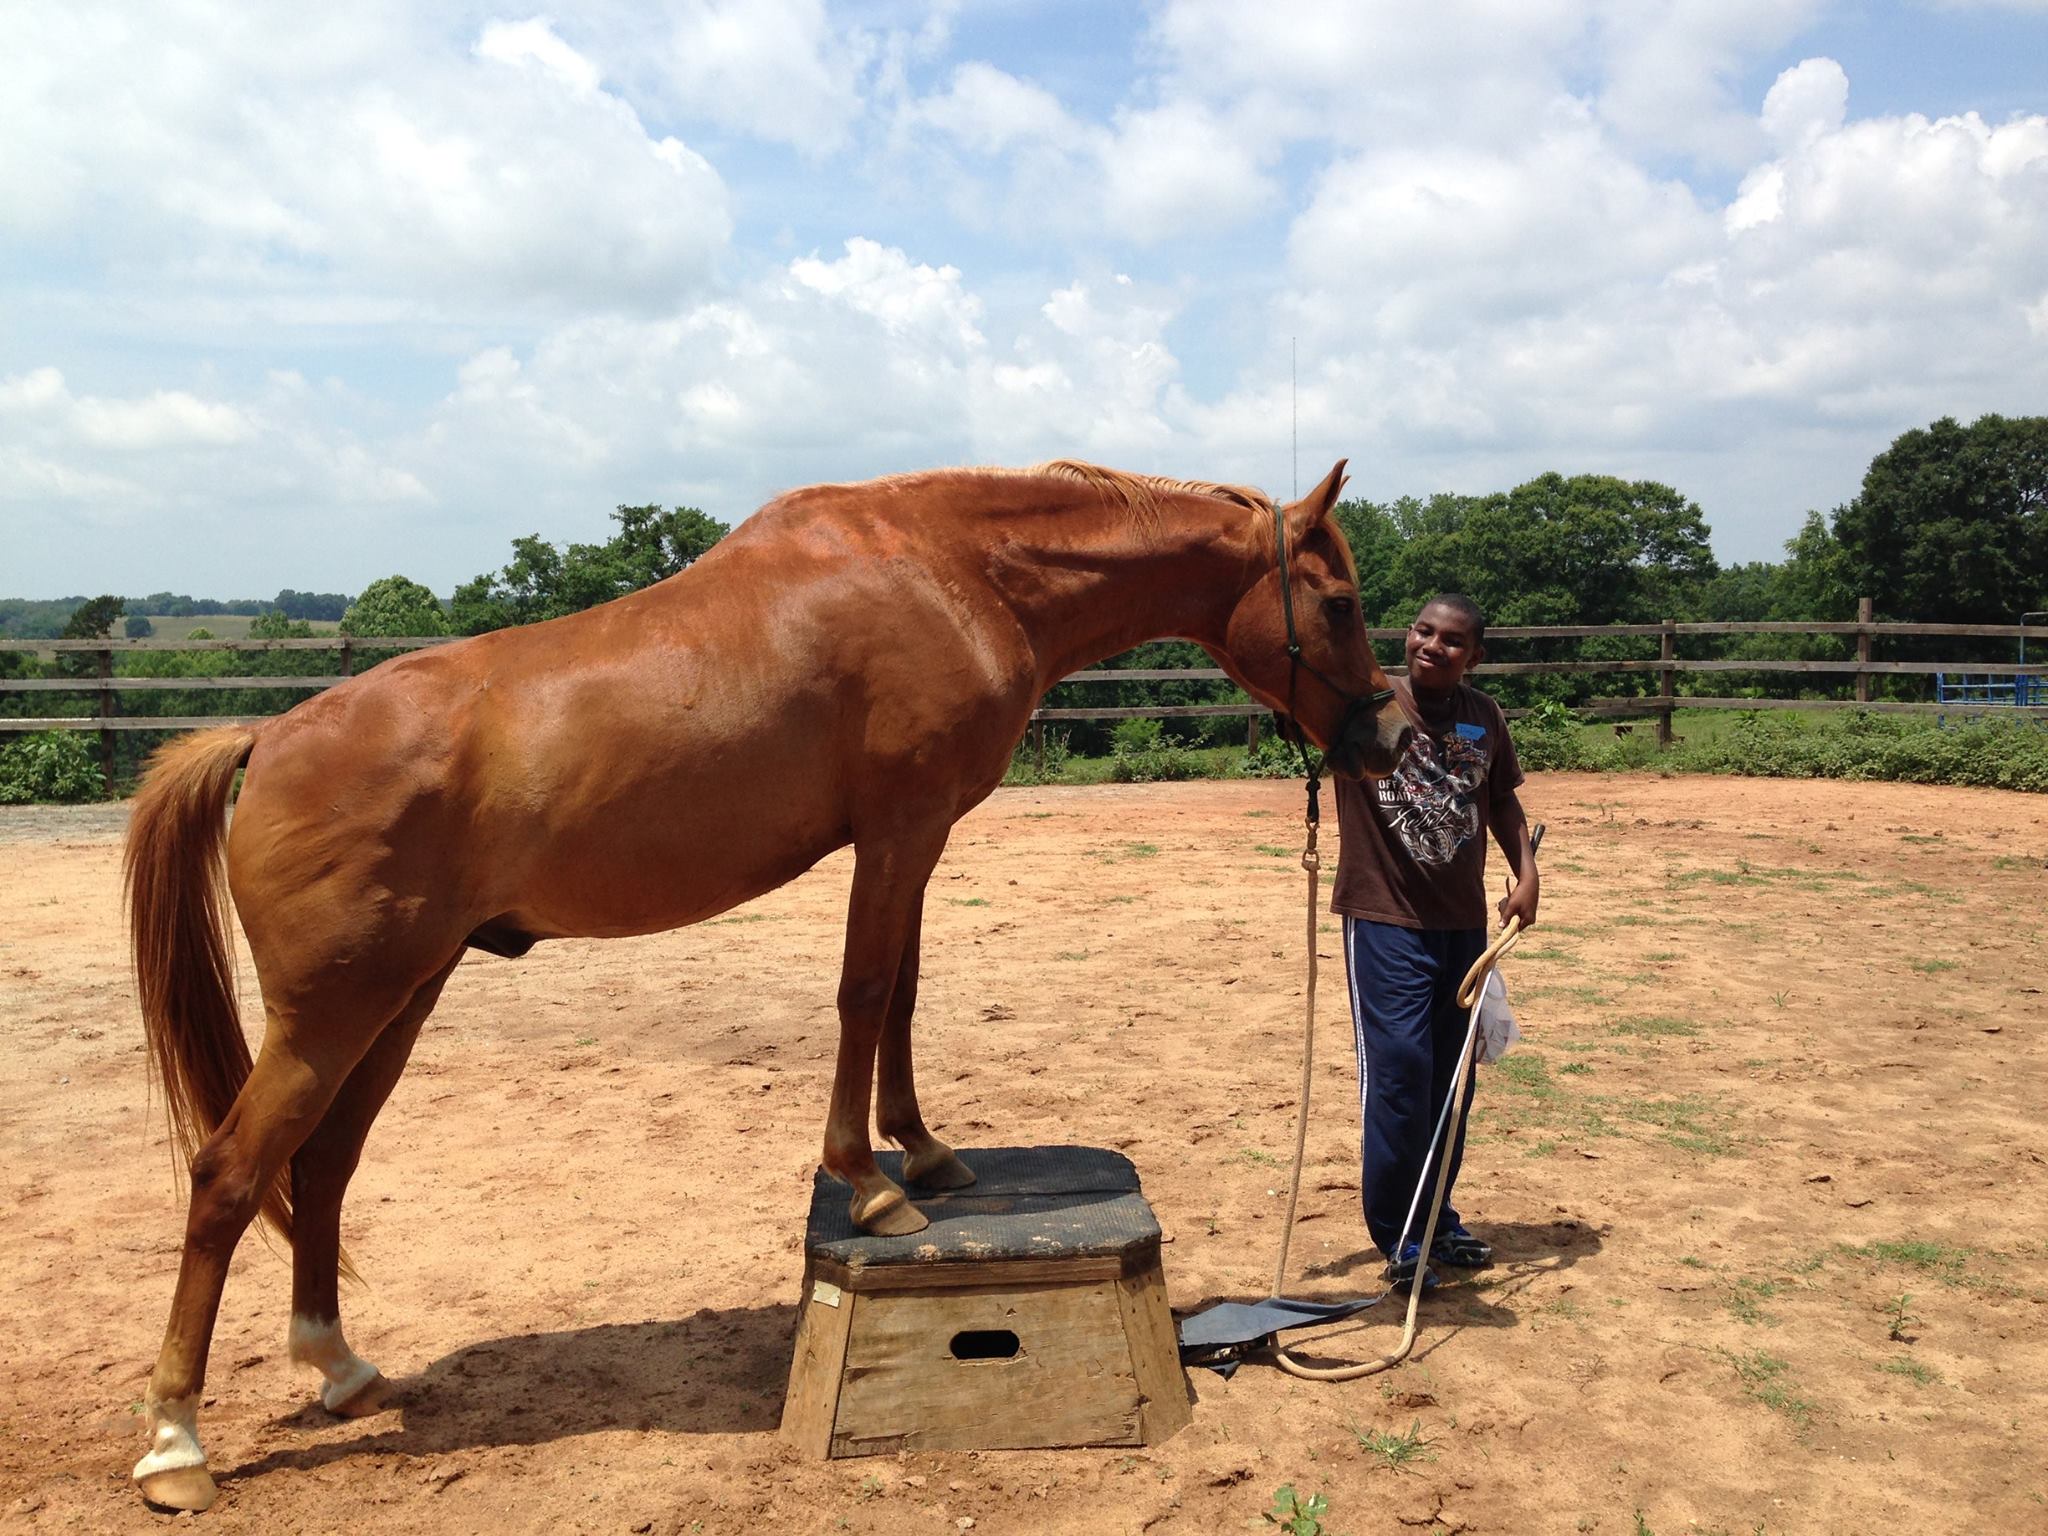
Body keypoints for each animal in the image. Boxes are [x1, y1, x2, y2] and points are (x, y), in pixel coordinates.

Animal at [119, 460, 1417, 1515]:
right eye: (1341, 604)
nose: (1389, 739)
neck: (951, 569)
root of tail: (268, 739)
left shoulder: (915, 839)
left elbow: (901, 994)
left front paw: (925, 1154)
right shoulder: (897, 830)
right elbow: (864, 993)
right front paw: (873, 1185)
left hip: (398, 997)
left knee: (323, 1164)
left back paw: (338, 1366)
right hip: (332, 1013)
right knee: (227, 1175)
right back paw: (176, 1448)